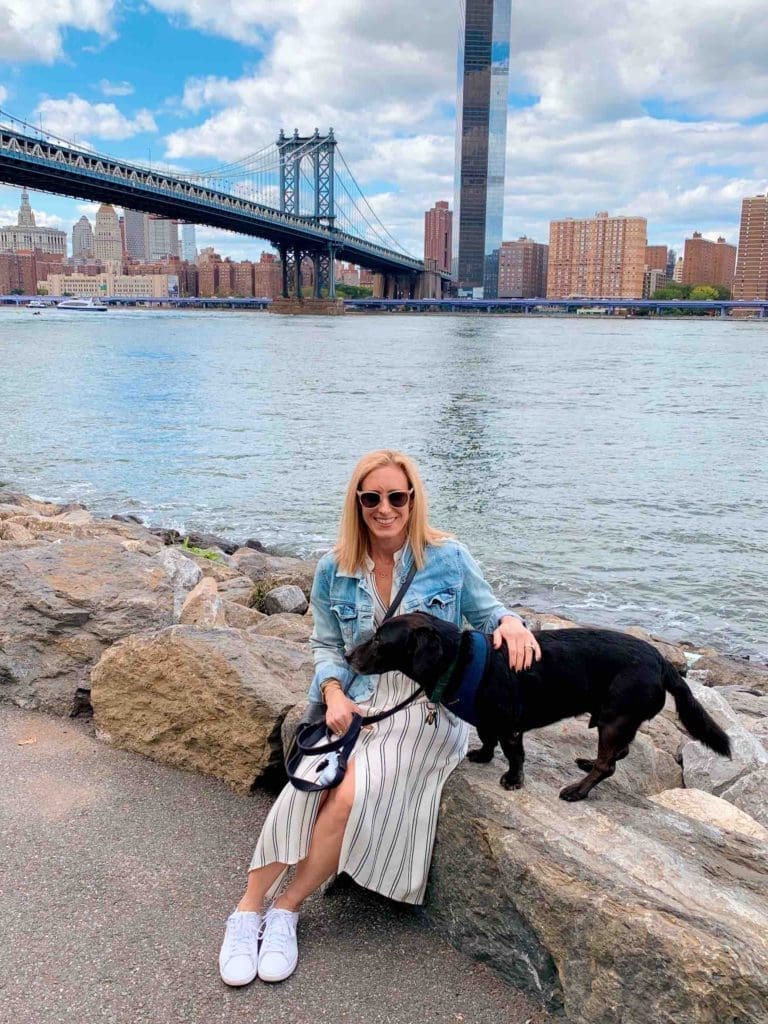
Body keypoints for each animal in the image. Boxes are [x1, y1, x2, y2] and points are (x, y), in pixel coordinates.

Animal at [350, 606, 733, 798]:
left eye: (380, 641)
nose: (348, 655)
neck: (459, 658)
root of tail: (662, 661)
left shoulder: (511, 726)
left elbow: (514, 754)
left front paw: (513, 779)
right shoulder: (489, 722)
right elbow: (487, 738)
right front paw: (483, 756)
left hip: (615, 718)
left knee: (607, 764)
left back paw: (578, 790)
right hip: (616, 719)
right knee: (618, 753)